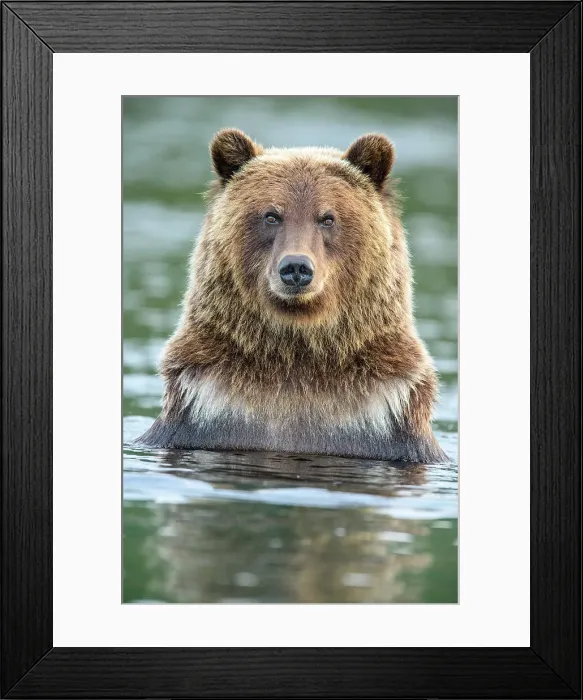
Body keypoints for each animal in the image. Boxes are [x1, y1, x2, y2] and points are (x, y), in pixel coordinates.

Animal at [138, 128, 448, 464]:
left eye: (327, 218)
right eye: (272, 216)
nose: (296, 267)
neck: (296, 350)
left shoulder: (387, 423)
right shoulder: (204, 413)